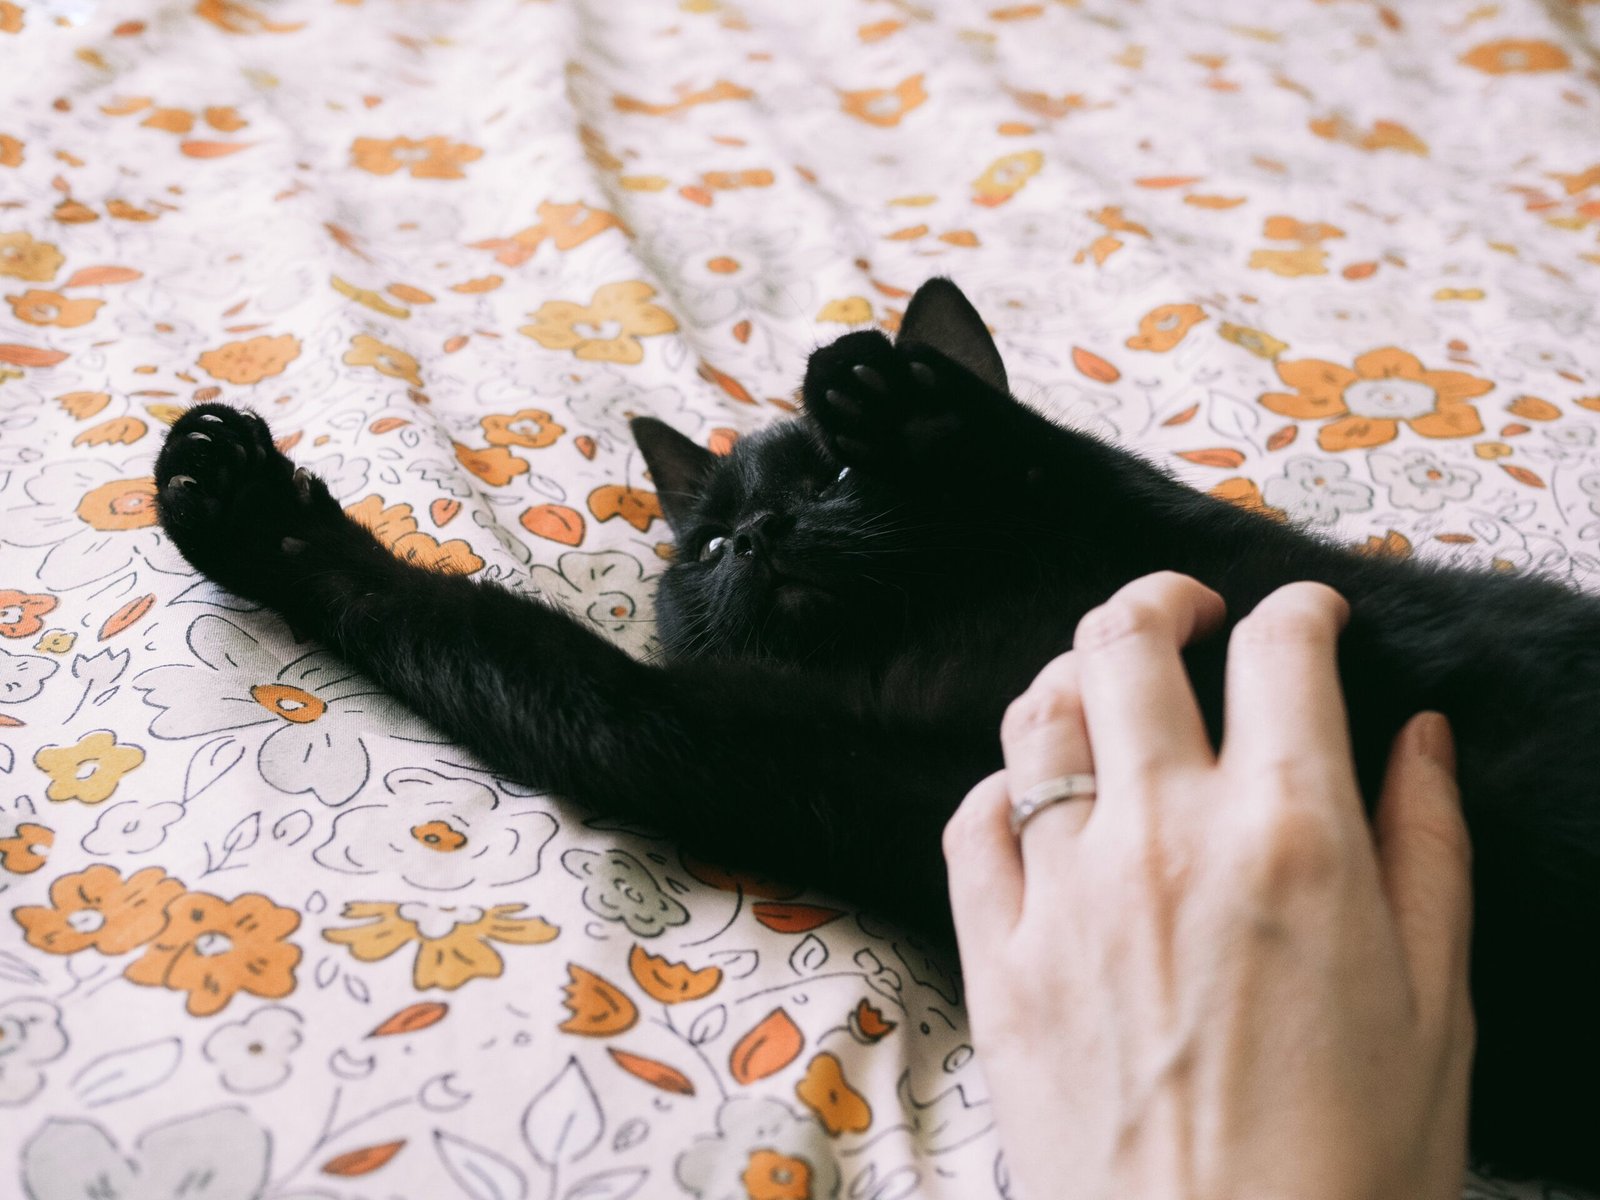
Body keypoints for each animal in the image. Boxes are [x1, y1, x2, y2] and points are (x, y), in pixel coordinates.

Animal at [156, 280, 1600, 1184]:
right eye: (710, 545)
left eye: (840, 481)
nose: (764, 532)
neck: (936, 637)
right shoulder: (771, 750)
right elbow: (485, 637)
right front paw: (247, 513)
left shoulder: (1206, 557)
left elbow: (1063, 459)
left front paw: (912, 403)